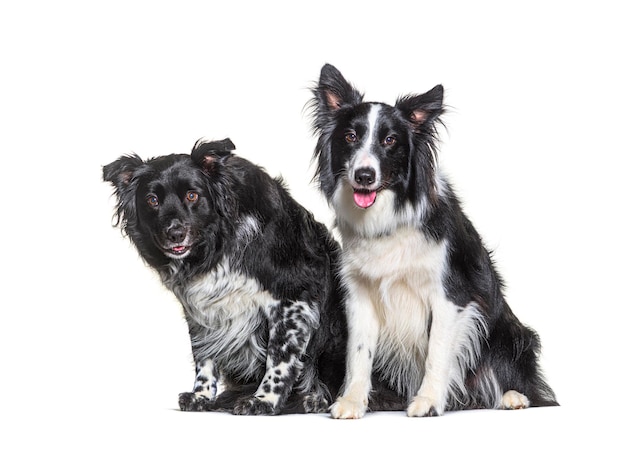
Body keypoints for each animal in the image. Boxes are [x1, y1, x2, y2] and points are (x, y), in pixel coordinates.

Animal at [103, 138, 346, 414]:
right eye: (152, 200)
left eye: (192, 195)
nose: (175, 234)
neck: (217, 244)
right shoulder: (202, 307)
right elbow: (203, 355)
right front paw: (201, 396)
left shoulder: (294, 298)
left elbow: (279, 357)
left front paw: (264, 400)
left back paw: (313, 399)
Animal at [308, 63, 556, 418]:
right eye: (350, 136)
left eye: (390, 140)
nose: (364, 176)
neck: (389, 218)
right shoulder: (360, 295)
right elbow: (358, 353)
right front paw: (352, 401)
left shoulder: (451, 295)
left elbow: (437, 352)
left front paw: (427, 401)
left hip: (511, 332)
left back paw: (513, 397)